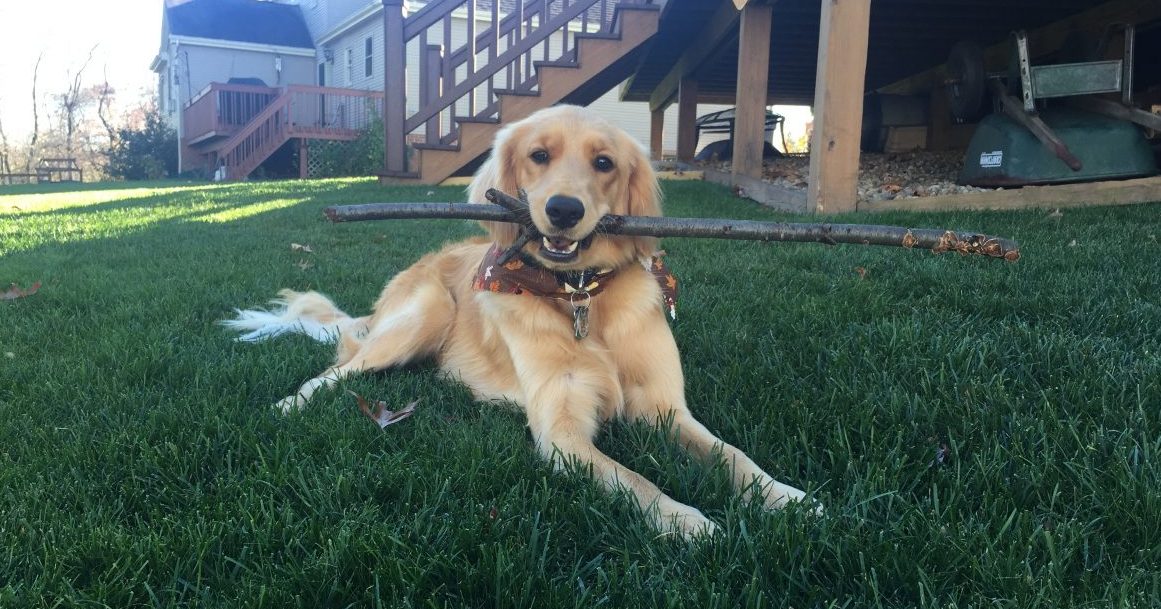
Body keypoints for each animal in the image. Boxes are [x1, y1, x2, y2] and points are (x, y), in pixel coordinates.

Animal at [221, 104, 812, 535]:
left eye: (604, 163)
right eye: (539, 155)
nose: (564, 210)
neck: (579, 297)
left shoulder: (667, 411)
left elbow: (733, 455)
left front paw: (788, 497)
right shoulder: (562, 435)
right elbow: (636, 480)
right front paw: (689, 523)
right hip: (426, 314)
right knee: (335, 370)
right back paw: (289, 405)